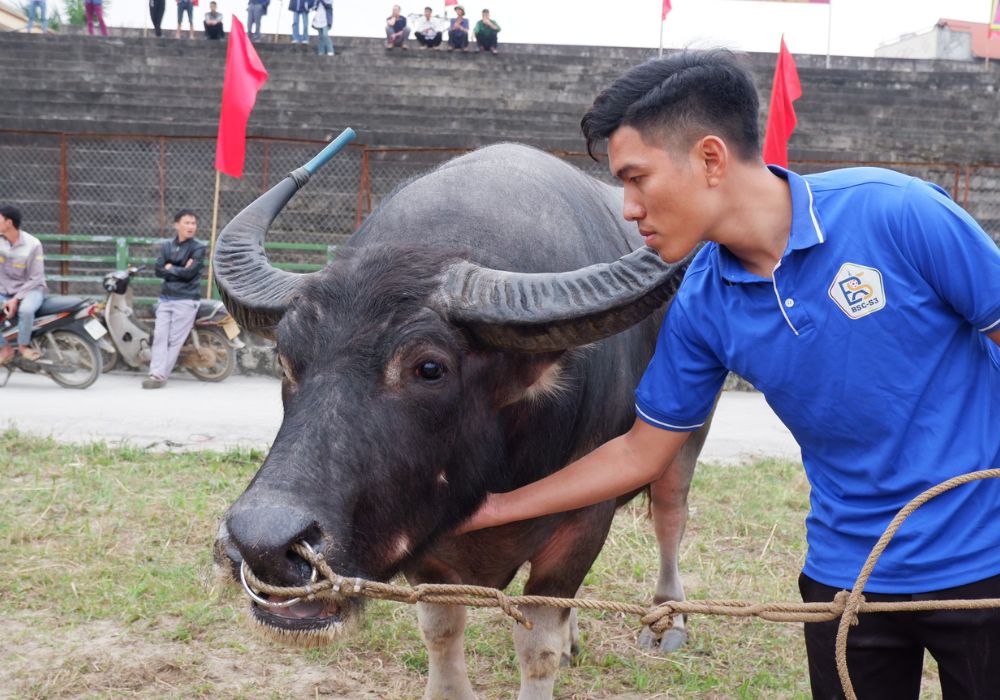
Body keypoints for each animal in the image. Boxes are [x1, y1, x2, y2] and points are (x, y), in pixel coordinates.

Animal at [211, 144, 712, 700]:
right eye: (285, 358)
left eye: (430, 368)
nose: (263, 544)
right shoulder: (426, 544)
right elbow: (441, 628)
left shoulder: (584, 521)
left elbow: (538, 647)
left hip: (686, 438)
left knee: (670, 515)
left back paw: (668, 621)